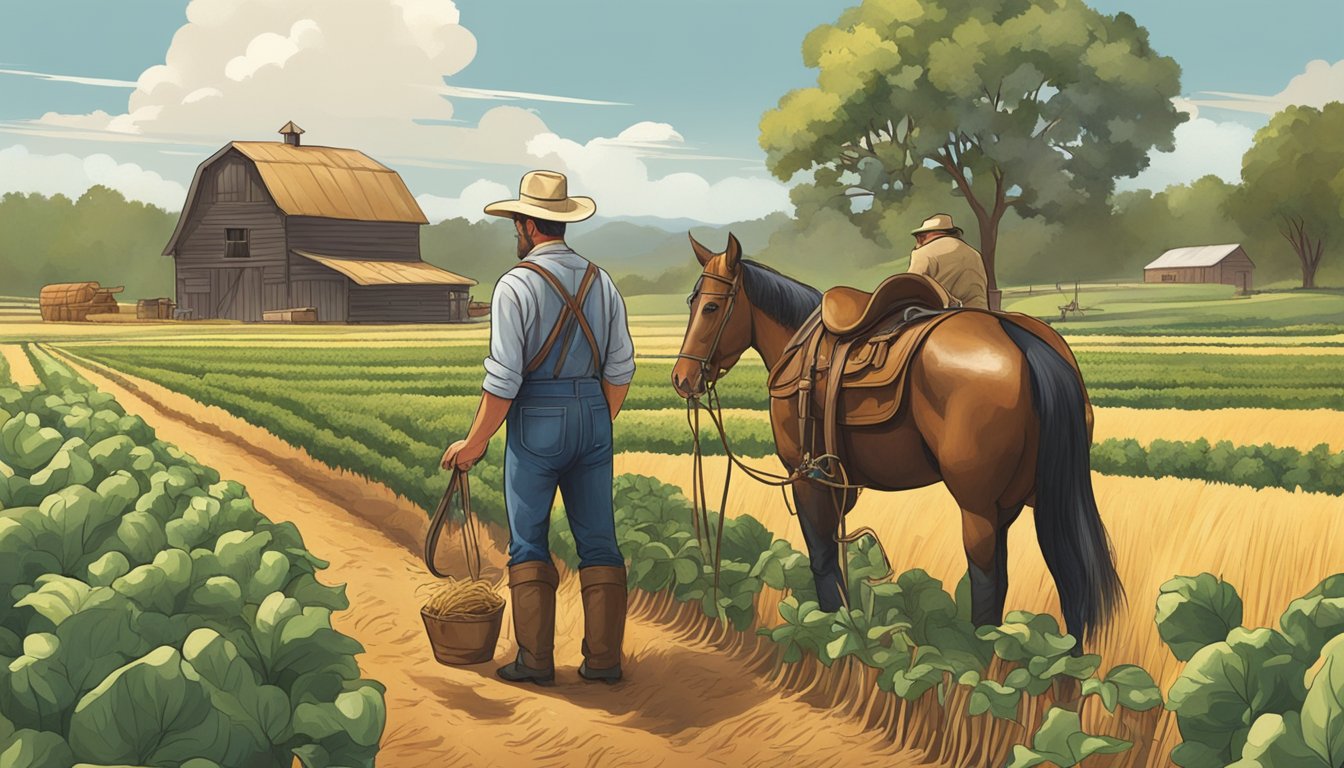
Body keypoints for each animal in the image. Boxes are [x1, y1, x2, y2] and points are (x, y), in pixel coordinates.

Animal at [672, 232, 1123, 648]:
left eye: (711, 306)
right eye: (690, 303)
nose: (682, 378)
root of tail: (1018, 339)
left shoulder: (807, 477)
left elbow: (822, 558)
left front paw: (832, 633)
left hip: (977, 506)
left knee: (988, 581)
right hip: (1027, 500)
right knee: (1064, 578)